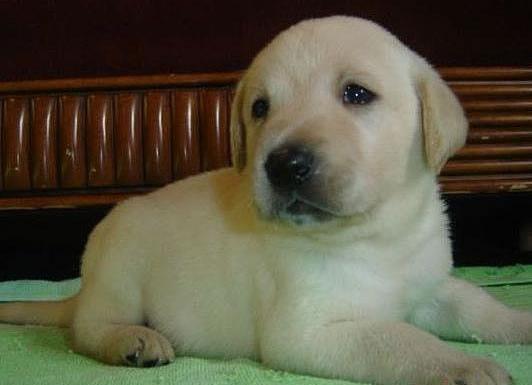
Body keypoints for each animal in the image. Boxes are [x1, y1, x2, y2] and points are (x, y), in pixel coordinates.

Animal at [1, 15, 532, 384]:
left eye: (357, 93)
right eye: (260, 108)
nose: (283, 164)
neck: (375, 234)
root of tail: (83, 291)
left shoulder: (431, 286)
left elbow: (479, 308)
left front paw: (522, 323)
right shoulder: (309, 331)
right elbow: (401, 339)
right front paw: (465, 365)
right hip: (119, 273)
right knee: (86, 329)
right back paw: (132, 339)